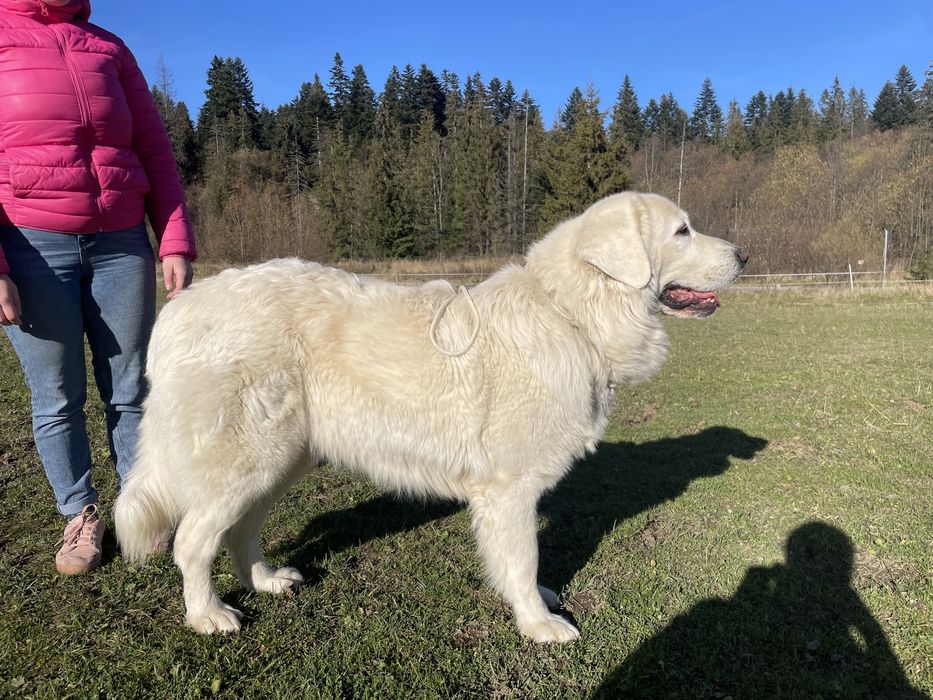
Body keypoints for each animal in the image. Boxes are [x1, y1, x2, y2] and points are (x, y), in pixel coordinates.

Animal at [113, 190, 748, 640]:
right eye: (682, 231)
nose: (745, 254)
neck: (572, 313)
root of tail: (180, 307)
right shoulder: (510, 490)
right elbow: (522, 560)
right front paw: (538, 625)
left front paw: (537, 606)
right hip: (244, 460)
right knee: (193, 540)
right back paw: (208, 615)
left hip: (280, 460)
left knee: (241, 530)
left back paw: (266, 582)